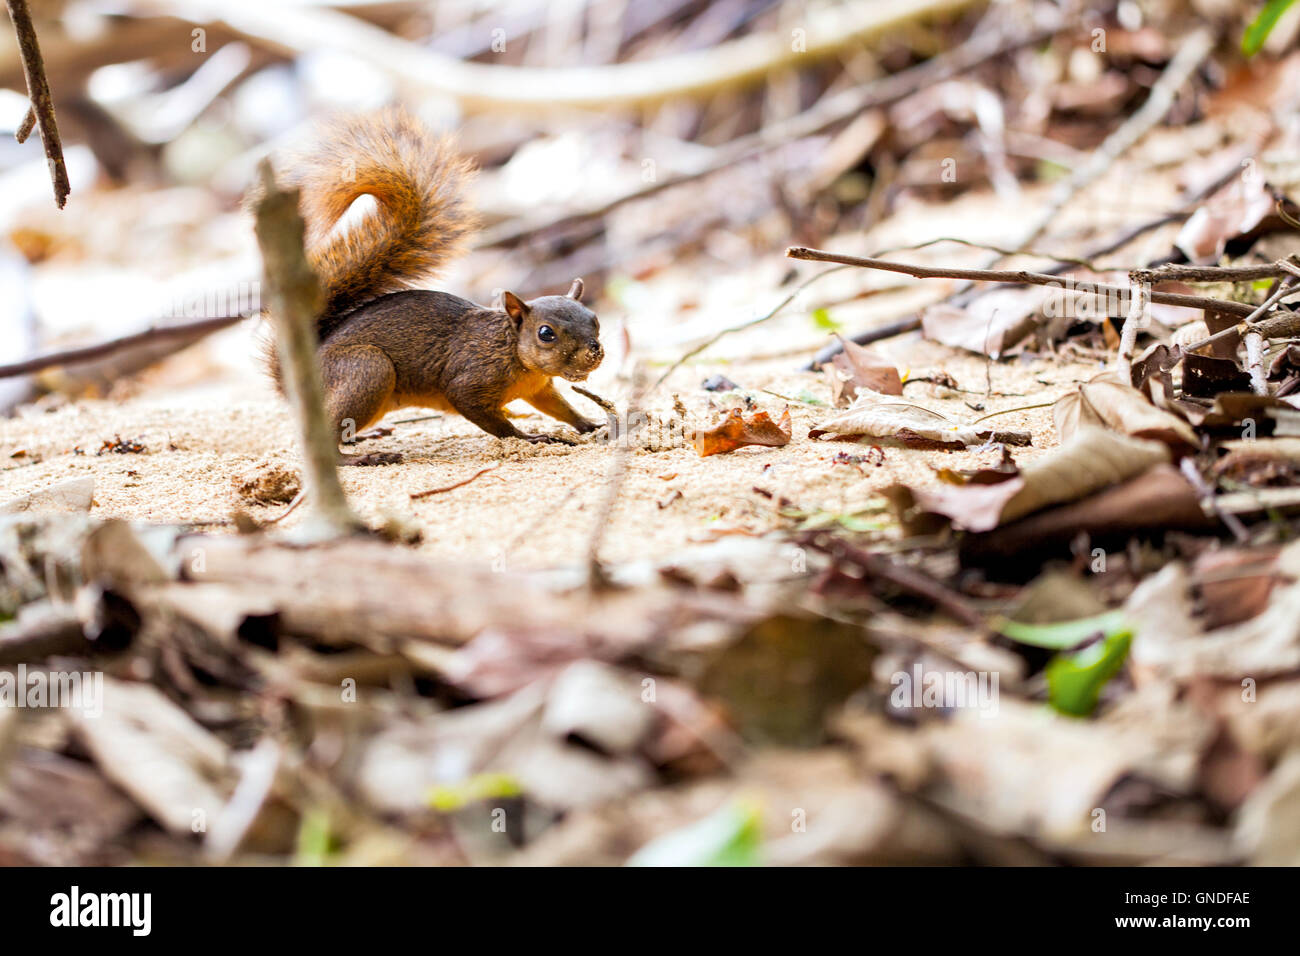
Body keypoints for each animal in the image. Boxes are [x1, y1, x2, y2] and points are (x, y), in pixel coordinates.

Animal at [267, 108, 608, 463]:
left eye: (595, 319)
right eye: (545, 333)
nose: (593, 352)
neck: (511, 350)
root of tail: (294, 380)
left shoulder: (540, 388)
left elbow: (561, 408)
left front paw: (592, 424)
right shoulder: (468, 381)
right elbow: (491, 420)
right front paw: (530, 438)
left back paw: (364, 437)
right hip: (367, 369)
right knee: (327, 441)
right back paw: (361, 456)